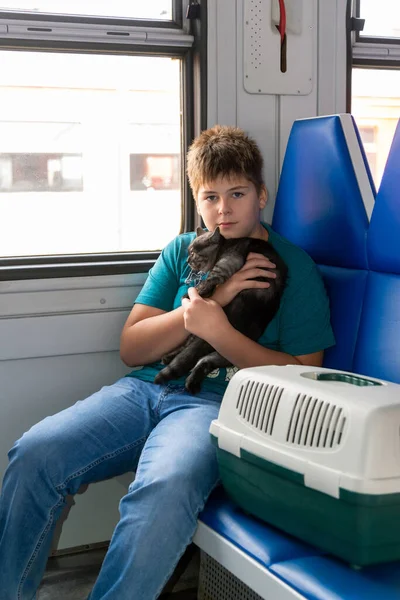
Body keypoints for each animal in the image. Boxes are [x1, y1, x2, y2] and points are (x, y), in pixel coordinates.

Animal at [154, 226, 288, 394]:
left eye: (193, 253)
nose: (188, 261)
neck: (224, 245)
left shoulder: (226, 265)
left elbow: (209, 280)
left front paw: (194, 292)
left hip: (231, 349)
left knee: (201, 359)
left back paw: (190, 381)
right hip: (228, 351)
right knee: (198, 355)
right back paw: (179, 369)